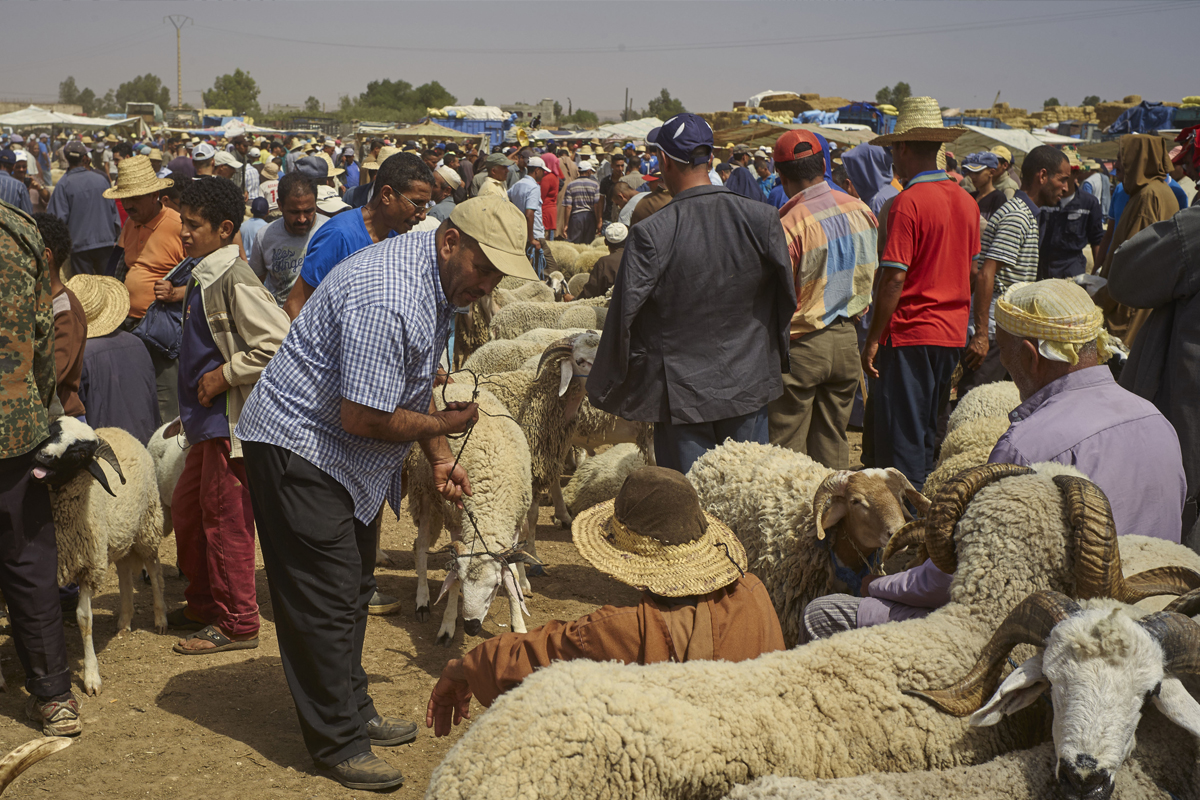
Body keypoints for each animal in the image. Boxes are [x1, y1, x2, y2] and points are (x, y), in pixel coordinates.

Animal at [28, 419, 168, 695]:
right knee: (124, 573)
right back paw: (124, 621)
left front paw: (92, 677)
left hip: (147, 524)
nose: (44, 456)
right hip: (119, 534)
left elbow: (84, 619)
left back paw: (160, 618)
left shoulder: (89, 567)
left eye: (81, 453)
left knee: (154, 569)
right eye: (51, 430)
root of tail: (119, 429)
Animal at [403, 383, 535, 647]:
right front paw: (447, 625)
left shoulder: (513, 526)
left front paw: (518, 624)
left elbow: (513, 572)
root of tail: (456, 383)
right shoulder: (456, 521)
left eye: (495, 587)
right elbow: (451, 575)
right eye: (464, 584)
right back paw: (422, 601)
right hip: (425, 493)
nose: (472, 627)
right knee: (420, 546)